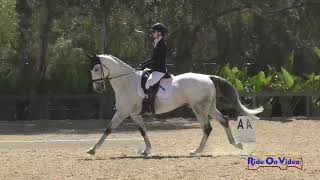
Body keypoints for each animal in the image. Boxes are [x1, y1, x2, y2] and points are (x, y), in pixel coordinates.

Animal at [85, 54, 262, 155]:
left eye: (96, 69)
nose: (98, 88)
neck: (126, 82)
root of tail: (208, 77)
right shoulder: (134, 114)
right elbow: (143, 131)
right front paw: (147, 150)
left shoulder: (122, 112)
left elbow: (108, 129)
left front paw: (92, 149)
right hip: (209, 107)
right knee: (224, 120)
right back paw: (236, 144)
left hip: (198, 108)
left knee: (207, 128)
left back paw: (196, 151)